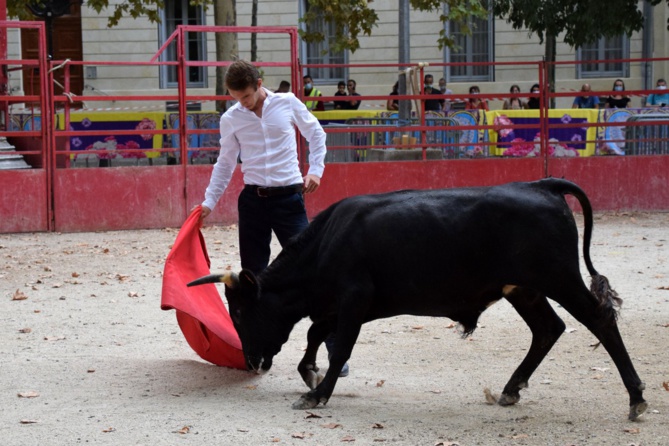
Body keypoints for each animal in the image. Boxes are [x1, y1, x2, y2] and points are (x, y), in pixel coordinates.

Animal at [188, 179, 648, 420]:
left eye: (241, 309)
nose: (250, 361)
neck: (326, 244)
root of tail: (541, 185)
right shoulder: (341, 306)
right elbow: (316, 334)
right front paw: (309, 375)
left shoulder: (354, 300)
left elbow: (337, 348)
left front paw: (317, 393)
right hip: (525, 290)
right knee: (548, 329)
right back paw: (511, 389)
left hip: (560, 279)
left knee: (600, 321)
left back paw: (637, 398)